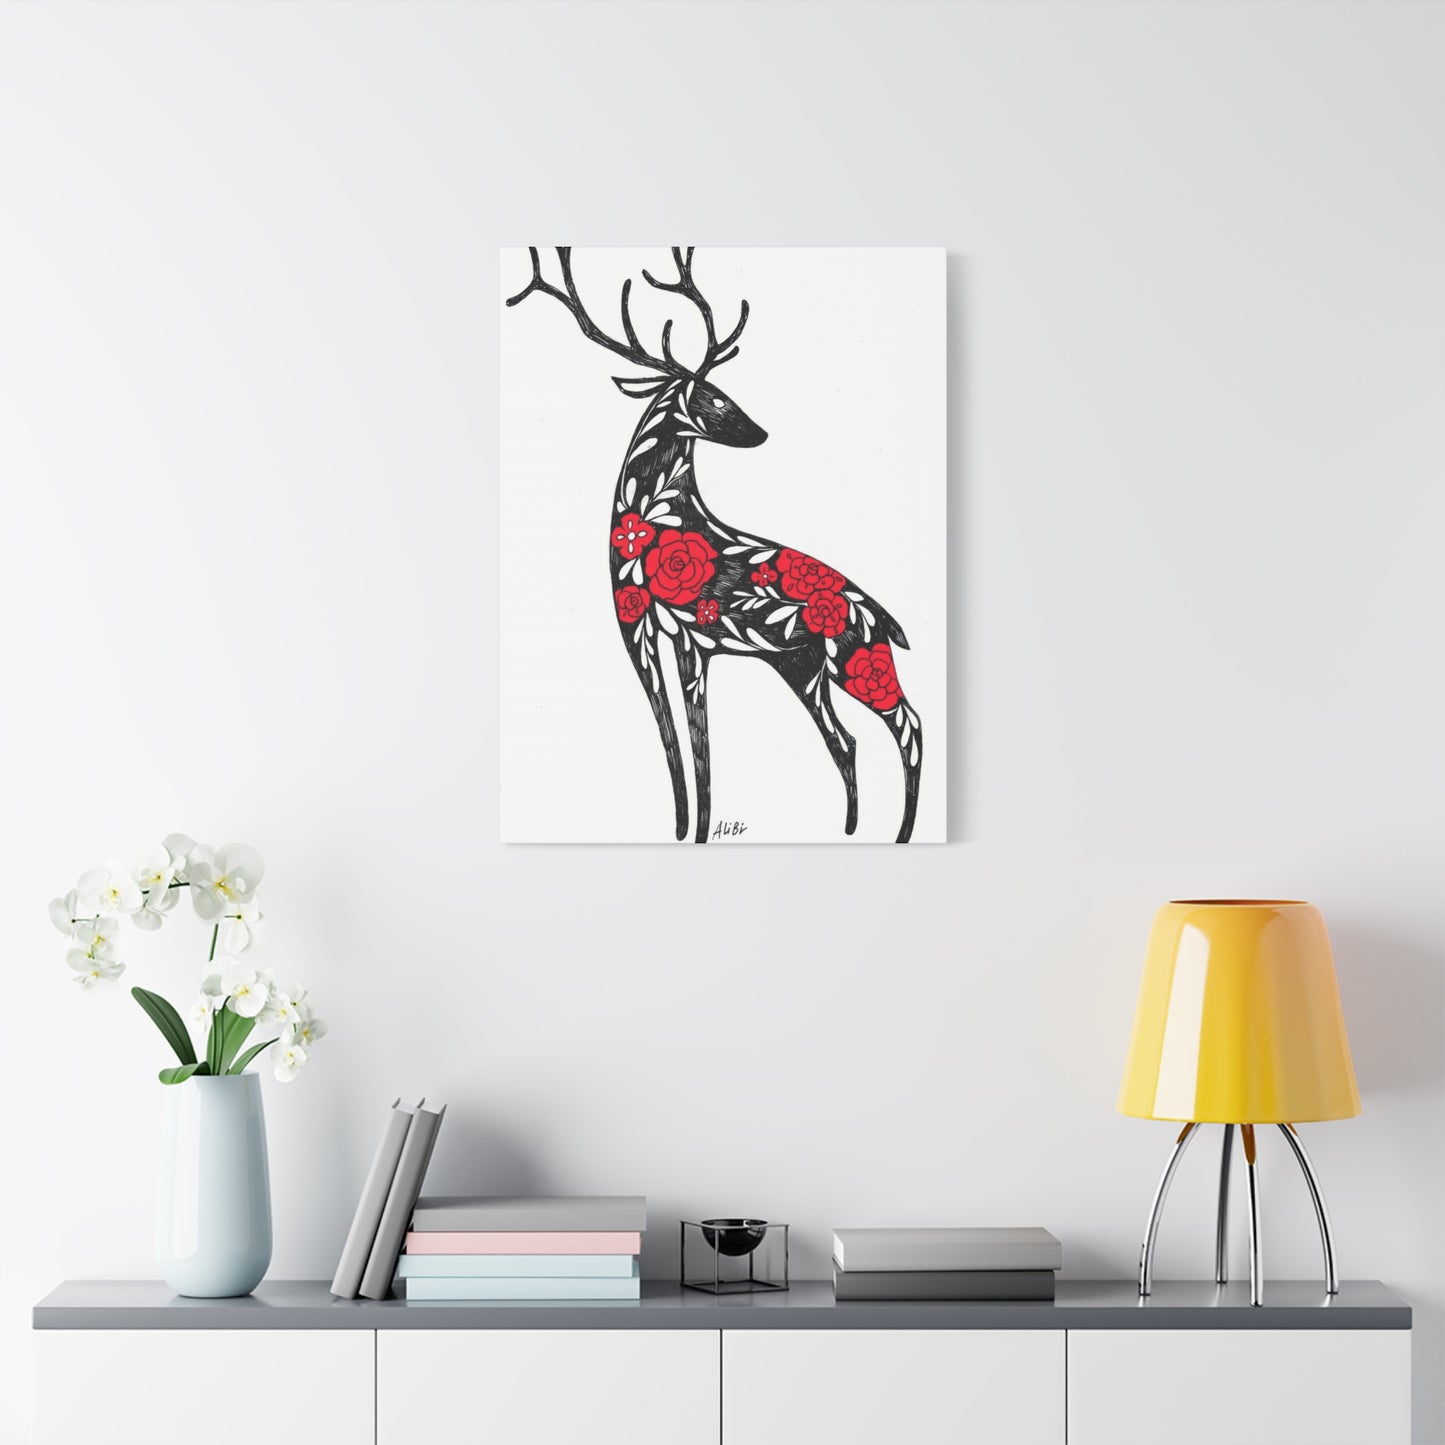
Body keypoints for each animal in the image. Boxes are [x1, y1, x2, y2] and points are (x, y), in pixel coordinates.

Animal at [506, 247, 923, 843]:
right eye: (716, 396)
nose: (763, 433)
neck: (648, 524)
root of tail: (886, 620)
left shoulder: (690, 637)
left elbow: (700, 746)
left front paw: (698, 831)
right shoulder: (640, 629)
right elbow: (672, 736)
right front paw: (682, 829)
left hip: (857, 656)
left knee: (909, 726)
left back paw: (900, 831)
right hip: (804, 667)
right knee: (846, 740)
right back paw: (849, 829)